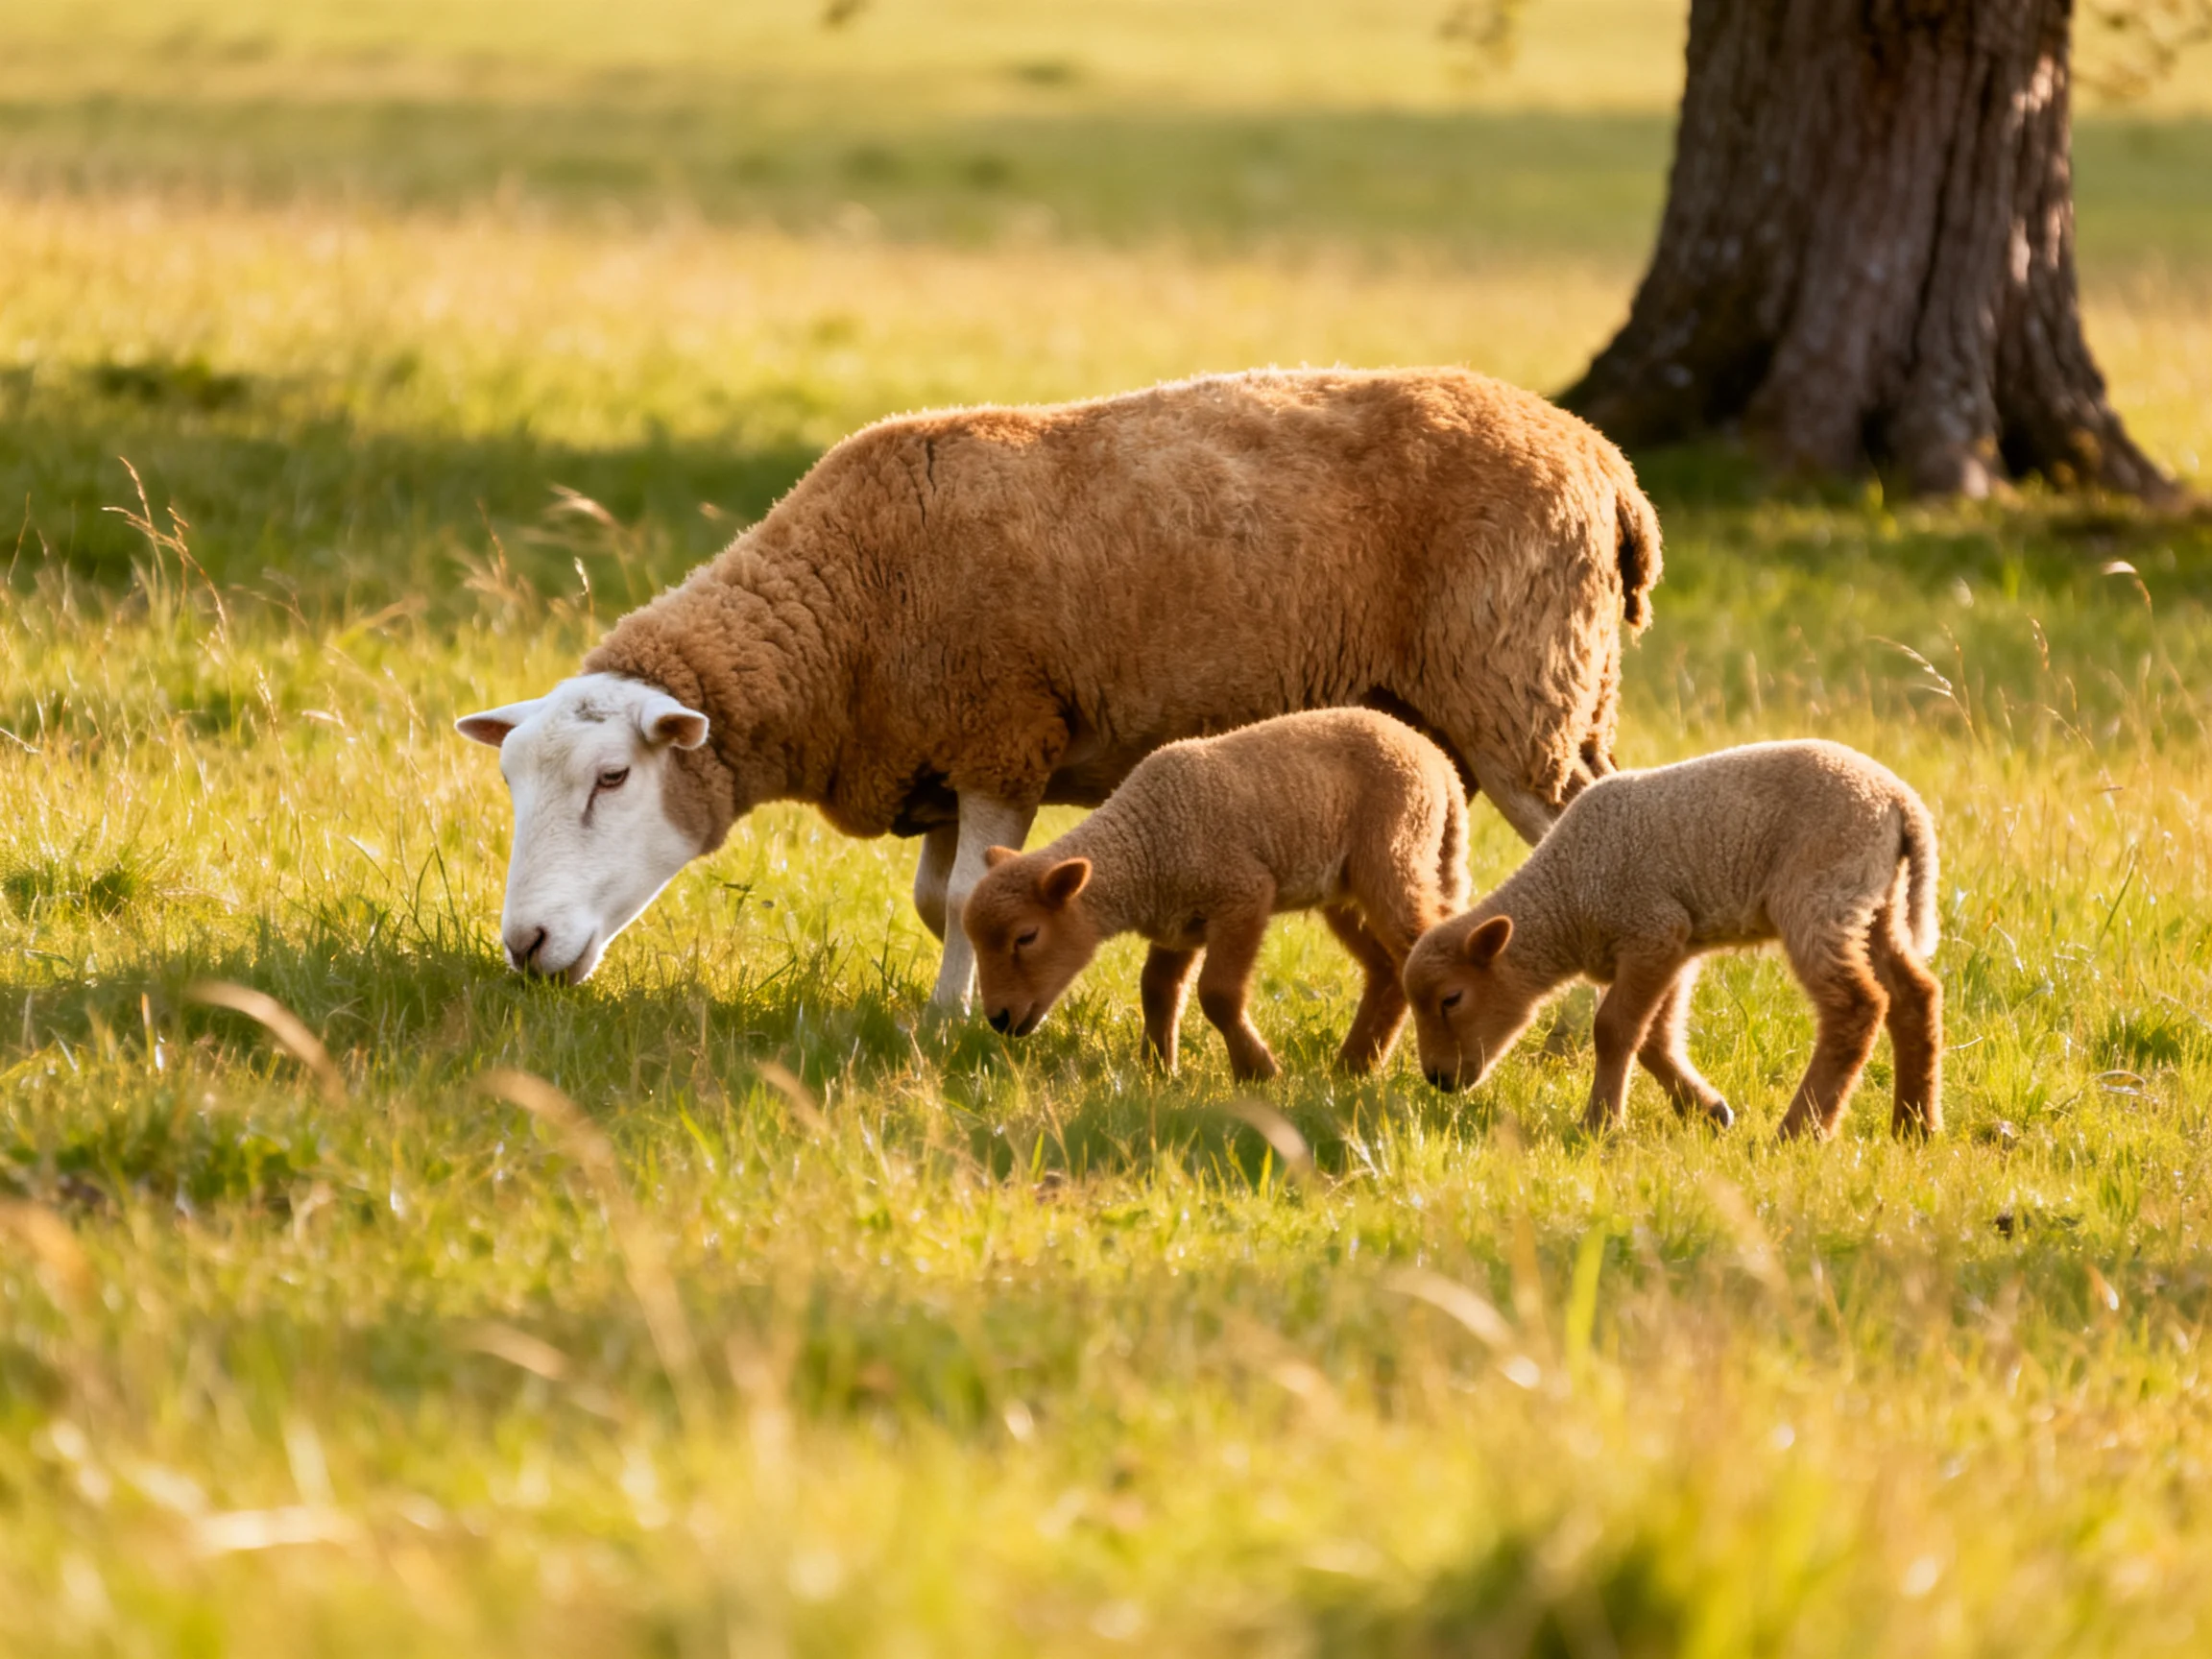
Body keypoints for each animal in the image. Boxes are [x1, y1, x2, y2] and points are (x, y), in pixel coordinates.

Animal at [455, 366, 1661, 1007]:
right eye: (513, 784)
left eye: (615, 779)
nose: (524, 947)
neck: (843, 611)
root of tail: (1609, 467)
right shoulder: (940, 758)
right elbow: (935, 897)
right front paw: (956, 1005)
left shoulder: (1002, 732)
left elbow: (955, 901)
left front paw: (949, 1024)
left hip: (1521, 690)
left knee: (1588, 822)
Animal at [961, 709, 1469, 1080]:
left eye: (1026, 937)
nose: (998, 1019)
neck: (1145, 844)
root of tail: (1439, 763)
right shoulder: (1178, 925)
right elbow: (1157, 989)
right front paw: (1159, 1071)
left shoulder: (1243, 895)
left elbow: (1218, 994)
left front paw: (1257, 1071)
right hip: (1344, 892)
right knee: (1386, 968)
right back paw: (1352, 1067)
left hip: (1393, 856)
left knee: (1413, 951)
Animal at [1402, 740, 1942, 1140]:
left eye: (1451, 998)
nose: (1438, 1079)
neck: (1568, 897)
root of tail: (1900, 802)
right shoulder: (1673, 945)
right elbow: (1653, 1039)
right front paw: (1708, 1110)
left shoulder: (1652, 929)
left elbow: (1614, 1030)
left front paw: (1600, 1126)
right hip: (1872, 902)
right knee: (1914, 996)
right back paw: (1914, 1126)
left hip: (1820, 894)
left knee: (1856, 1007)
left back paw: (1799, 1131)